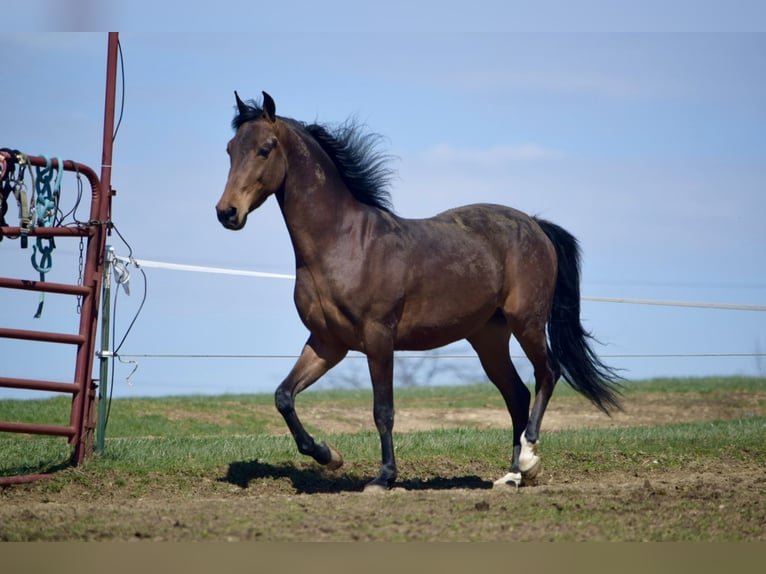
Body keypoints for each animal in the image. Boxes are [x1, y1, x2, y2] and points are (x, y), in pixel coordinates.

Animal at [215, 91, 622, 491]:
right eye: (230, 148)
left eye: (264, 149)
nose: (227, 212)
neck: (344, 244)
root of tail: (536, 225)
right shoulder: (327, 343)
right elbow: (284, 397)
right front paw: (328, 455)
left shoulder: (378, 338)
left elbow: (383, 410)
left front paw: (383, 477)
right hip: (488, 338)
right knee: (516, 395)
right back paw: (511, 476)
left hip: (527, 322)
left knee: (548, 373)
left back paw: (529, 459)